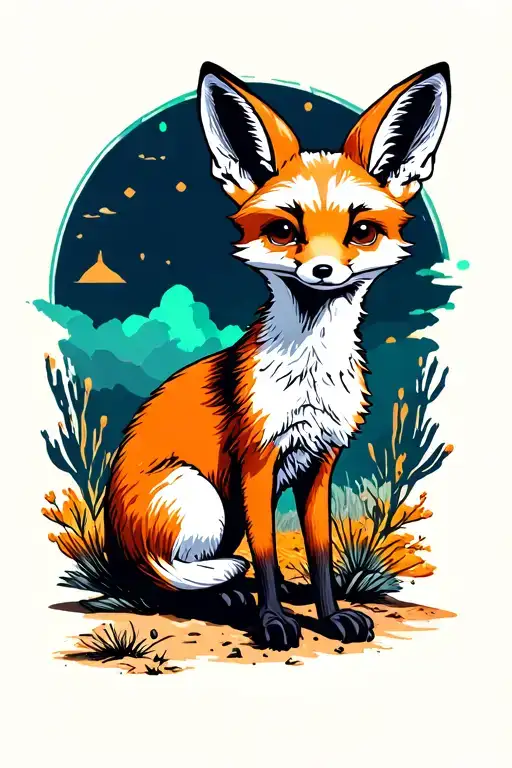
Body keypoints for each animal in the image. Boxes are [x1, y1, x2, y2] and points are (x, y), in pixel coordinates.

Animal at [106, 61, 451, 650]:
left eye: (362, 231)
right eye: (284, 230)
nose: (322, 271)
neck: (309, 376)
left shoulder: (322, 462)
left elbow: (319, 552)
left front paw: (330, 615)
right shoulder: (256, 461)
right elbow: (265, 555)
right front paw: (272, 622)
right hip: (200, 499)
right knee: (164, 580)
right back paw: (228, 598)